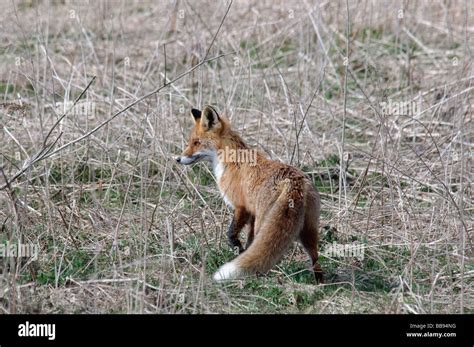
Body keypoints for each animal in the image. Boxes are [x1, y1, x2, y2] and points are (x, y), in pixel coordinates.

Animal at [176, 105, 324, 282]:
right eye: (191, 142)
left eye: (196, 142)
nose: (177, 159)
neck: (230, 159)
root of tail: (293, 183)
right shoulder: (252, 213)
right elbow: (249, 242)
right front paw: (243, 254)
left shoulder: (241, 206)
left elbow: (231, 234)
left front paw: (238, 251)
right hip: (309, 230)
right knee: (315, 258)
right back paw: (319, 282)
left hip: (264, 223)